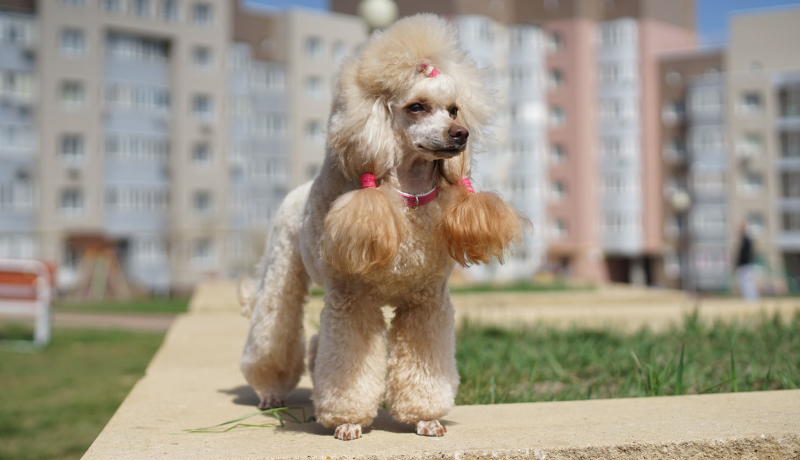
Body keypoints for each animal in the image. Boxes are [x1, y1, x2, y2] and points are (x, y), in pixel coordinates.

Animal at [239, 14, 522, 440]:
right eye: (416, 107)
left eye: (454, 109)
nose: (461, 135)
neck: (407, 199)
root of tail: (296, 192)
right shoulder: (354, 300)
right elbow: (348, 364)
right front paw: (348, 422)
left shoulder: (426, 302)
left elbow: (423, 363)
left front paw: (426, 418)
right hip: (281, 268)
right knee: (275, 326)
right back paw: (271, 392)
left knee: (316, 344)